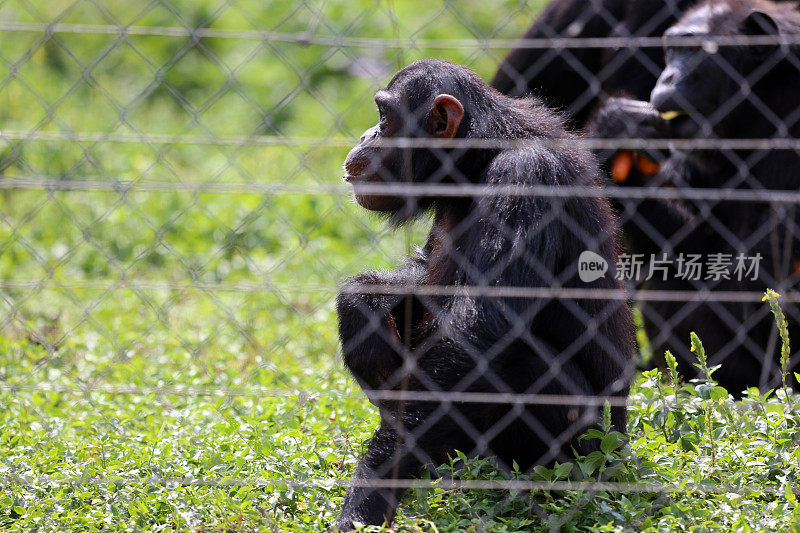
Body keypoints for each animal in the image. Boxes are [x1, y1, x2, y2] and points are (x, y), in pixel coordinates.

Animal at [334, 58, 636, 528]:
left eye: (384, 117)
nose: (368, 135)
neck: (478, 159)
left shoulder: (526, 181)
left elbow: (477, 331)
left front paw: (367, 500)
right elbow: (424, 271)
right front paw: (359, 303)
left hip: (589, 457)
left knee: (519, 364)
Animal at [580, 0, 800, 390]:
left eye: (693, 49)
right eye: (672, 50)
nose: (667, 77)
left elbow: (753, 282)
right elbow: (697, 238)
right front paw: (613, 133)